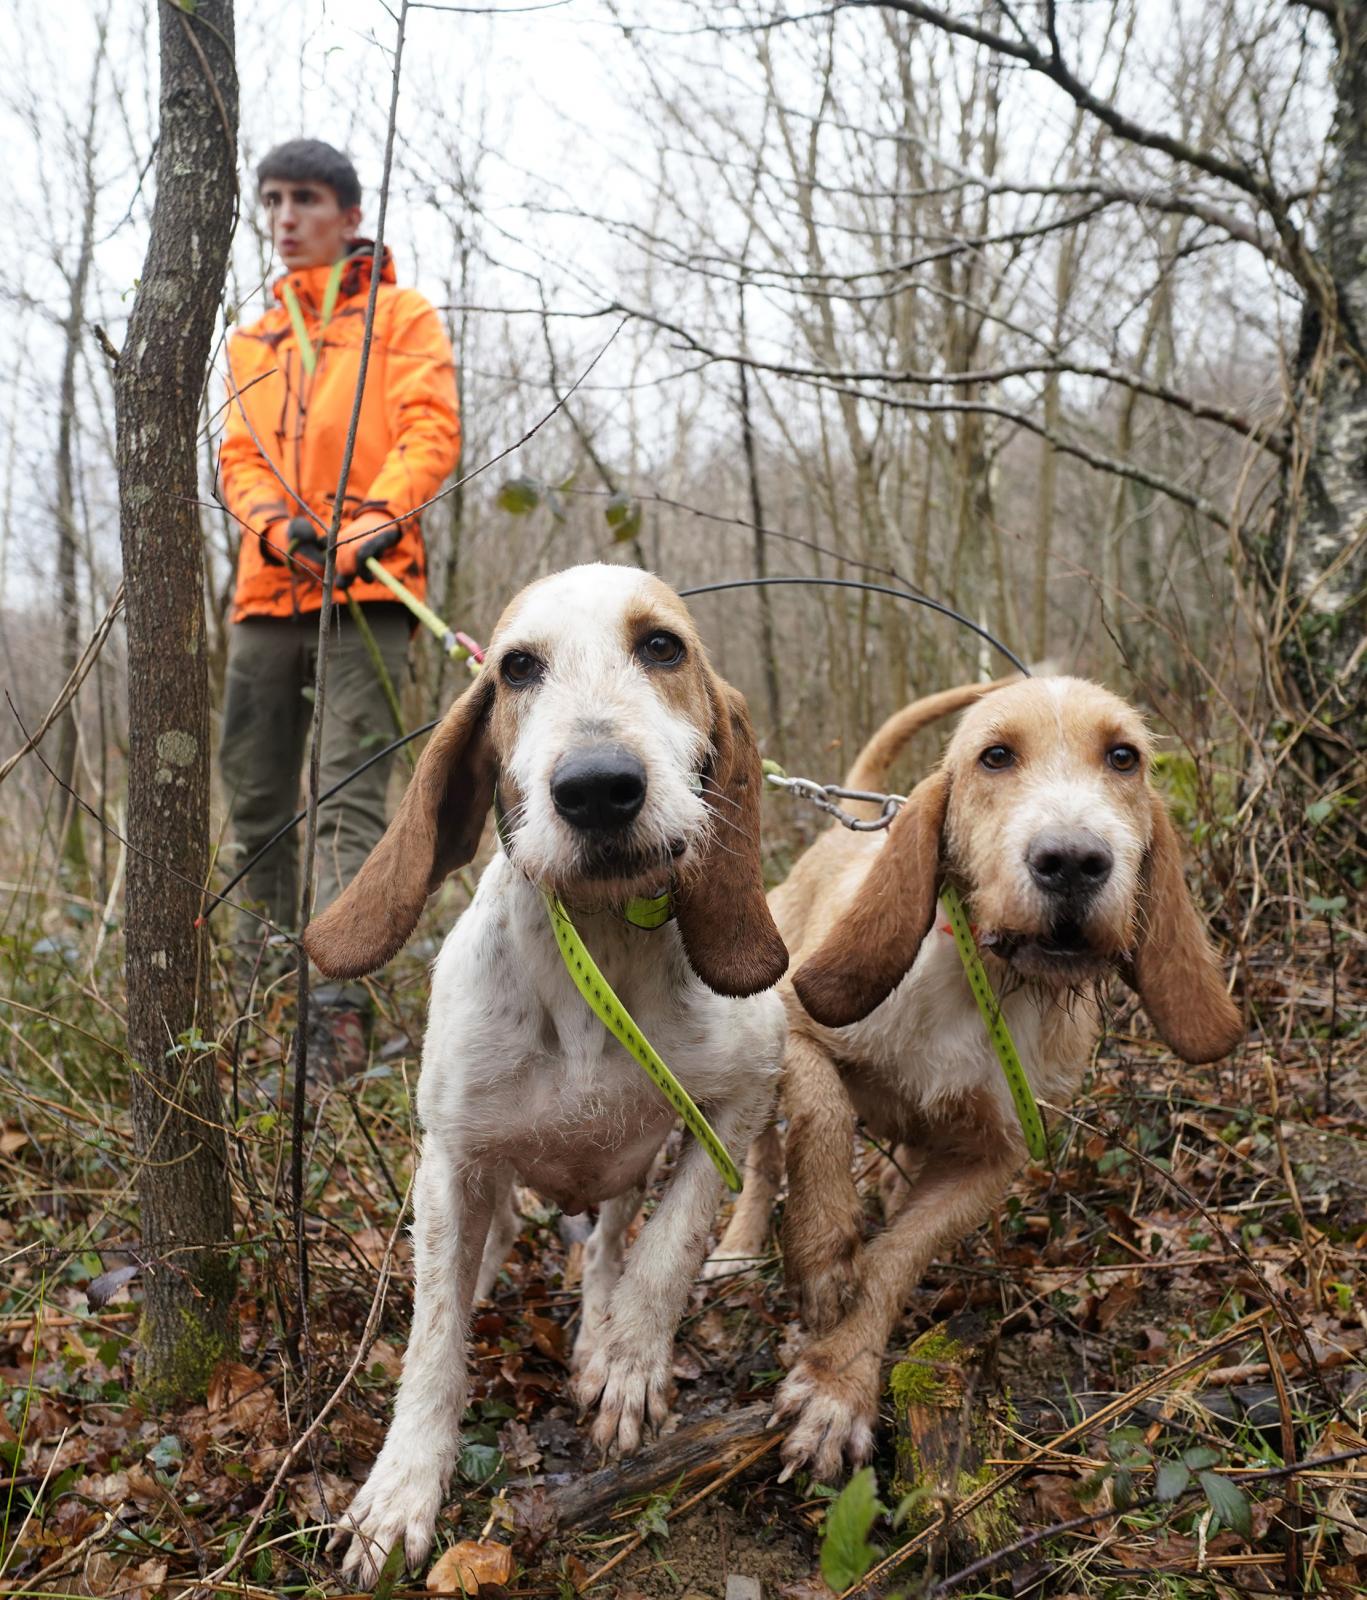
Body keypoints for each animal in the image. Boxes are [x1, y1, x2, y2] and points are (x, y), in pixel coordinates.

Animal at [304, 560, 787, 1574]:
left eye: (662, 647)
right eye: (518, 667)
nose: (598, 787)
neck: (596, 944)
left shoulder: (737, 1104)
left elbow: (668, 1249)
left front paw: (628, 1364)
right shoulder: (450, 1159)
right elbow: (434, 1338)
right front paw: (401, 1490)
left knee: (607, 1246)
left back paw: (601, 1330)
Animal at [710, 672, 1248, 1472]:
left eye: (1123, 757)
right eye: (995, 756)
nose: (1072, 861)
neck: (984, 983)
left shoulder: (992, 1160)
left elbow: (898, 1254)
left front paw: (840, 1382)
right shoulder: (798, 1030)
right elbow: (823, 1116)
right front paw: (822, 1256)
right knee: (766, 1156)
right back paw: (740, 1245)